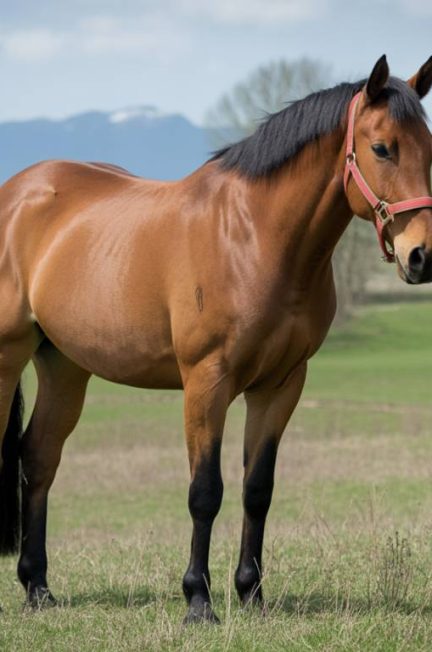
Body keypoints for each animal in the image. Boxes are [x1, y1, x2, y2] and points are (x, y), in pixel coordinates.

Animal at [0, 55, 432, 624]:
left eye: (430, 147)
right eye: (382, 148)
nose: (422, 255)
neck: (252, 237)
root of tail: (19, 192)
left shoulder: (280, 385)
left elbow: (257, 489)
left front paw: (252, 593)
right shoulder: (207, 382)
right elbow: (205, 491)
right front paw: (198, 601)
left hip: (64, 366)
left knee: (39, 458)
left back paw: (38, 588)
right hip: (8, 356)